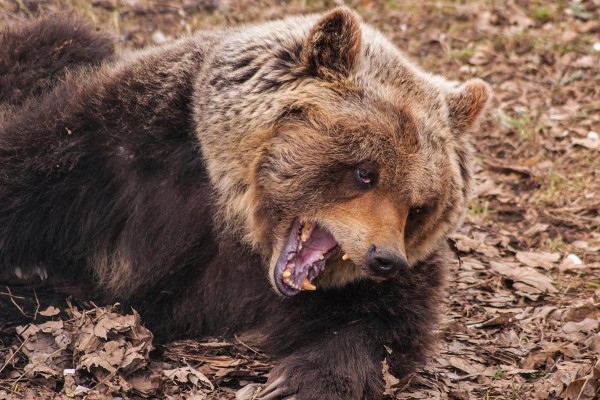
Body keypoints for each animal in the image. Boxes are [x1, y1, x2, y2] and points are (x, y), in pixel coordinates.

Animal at [0, 7, 488, 398]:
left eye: (420, 205)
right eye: (365, 172)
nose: (384, 258)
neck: (236, 218)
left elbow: (381, 321)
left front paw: (298, 380)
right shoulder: (117, 150)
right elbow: (28, 173)